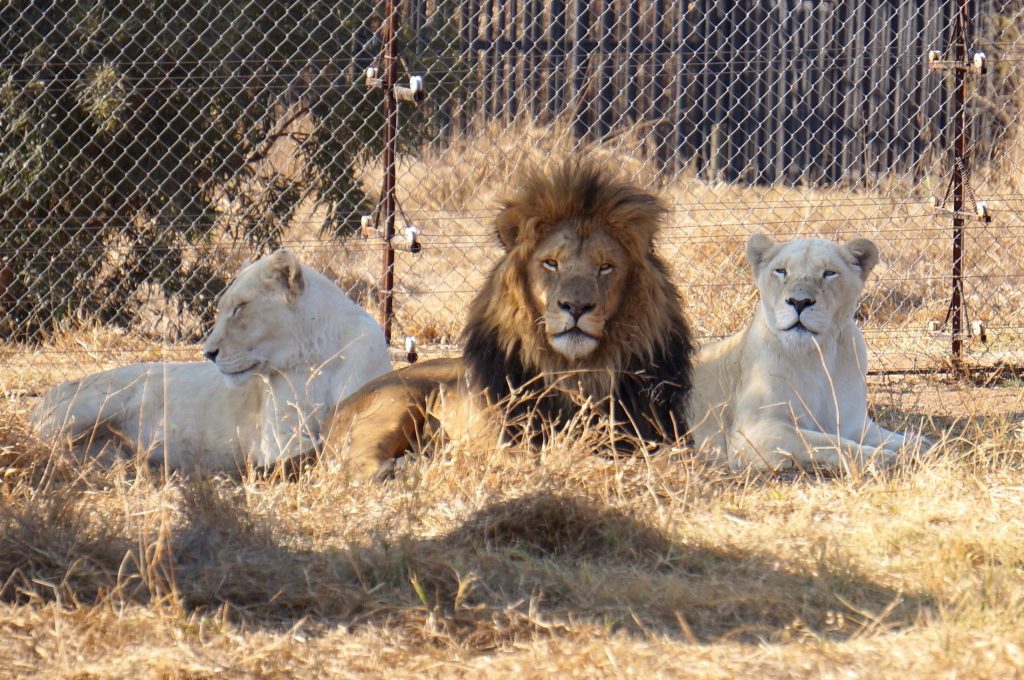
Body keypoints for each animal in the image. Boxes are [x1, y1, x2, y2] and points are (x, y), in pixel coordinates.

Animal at [30, 249, 391, 473]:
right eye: (223, 308)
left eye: (240, 308)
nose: (208, 353)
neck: (314, 357)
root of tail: (44, 397)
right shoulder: (276, 438)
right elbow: (311, 447)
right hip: (90, 407)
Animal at [317, 157, 696, 481]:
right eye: (551, 263)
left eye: (605, 267)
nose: (575, 307)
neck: (577, 372)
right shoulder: (512, 442)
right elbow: (577, 457)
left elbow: (677, 457)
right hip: (397, 401)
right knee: (353, 467)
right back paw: (410, 466)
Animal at [688, 233, 929, 473]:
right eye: (781, 271)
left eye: (829, 273)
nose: (799, 302)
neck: (817, 356)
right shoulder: (750, 433)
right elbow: (825, 441)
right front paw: (878, 457)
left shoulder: (853, 421)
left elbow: (885, 436)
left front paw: (916, 443)